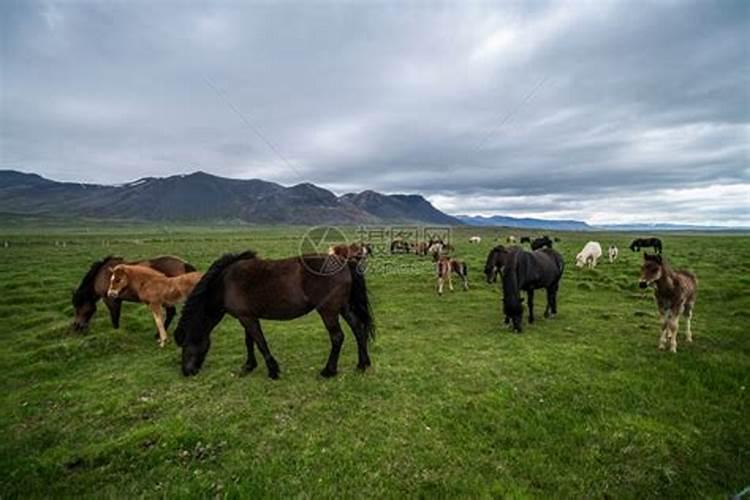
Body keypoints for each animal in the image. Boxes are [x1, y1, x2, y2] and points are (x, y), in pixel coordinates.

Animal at [176, 250, 376, 378]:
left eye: (185, 344)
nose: (186, 372)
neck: (225, 284)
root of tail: (346, 262)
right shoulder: (247, 317)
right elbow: (250, 342)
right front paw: (249, 366)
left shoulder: (247, 318)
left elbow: (260, 342)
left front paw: (273, 370)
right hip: (344, 307)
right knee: (358, 329)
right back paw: (362, 364)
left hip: (328, 311)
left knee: (337, 337)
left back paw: (328, 371)